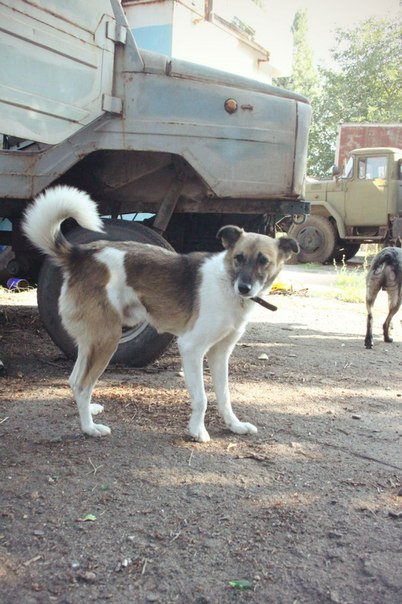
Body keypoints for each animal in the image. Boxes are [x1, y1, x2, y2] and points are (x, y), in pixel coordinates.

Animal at [22, 186, 298, 442]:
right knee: (82, 384)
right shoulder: (191, 348)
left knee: (74, 379)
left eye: (263, 261)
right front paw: (197, 431)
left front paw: (234, 425)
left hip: (92, 339)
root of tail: (80, 254)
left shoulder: (220, 354)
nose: (244, 288)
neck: (226, 283)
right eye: (239, 258)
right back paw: (90, 428)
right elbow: (202, 398)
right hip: (107, 339)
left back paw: (91, 410)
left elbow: (224, 396)